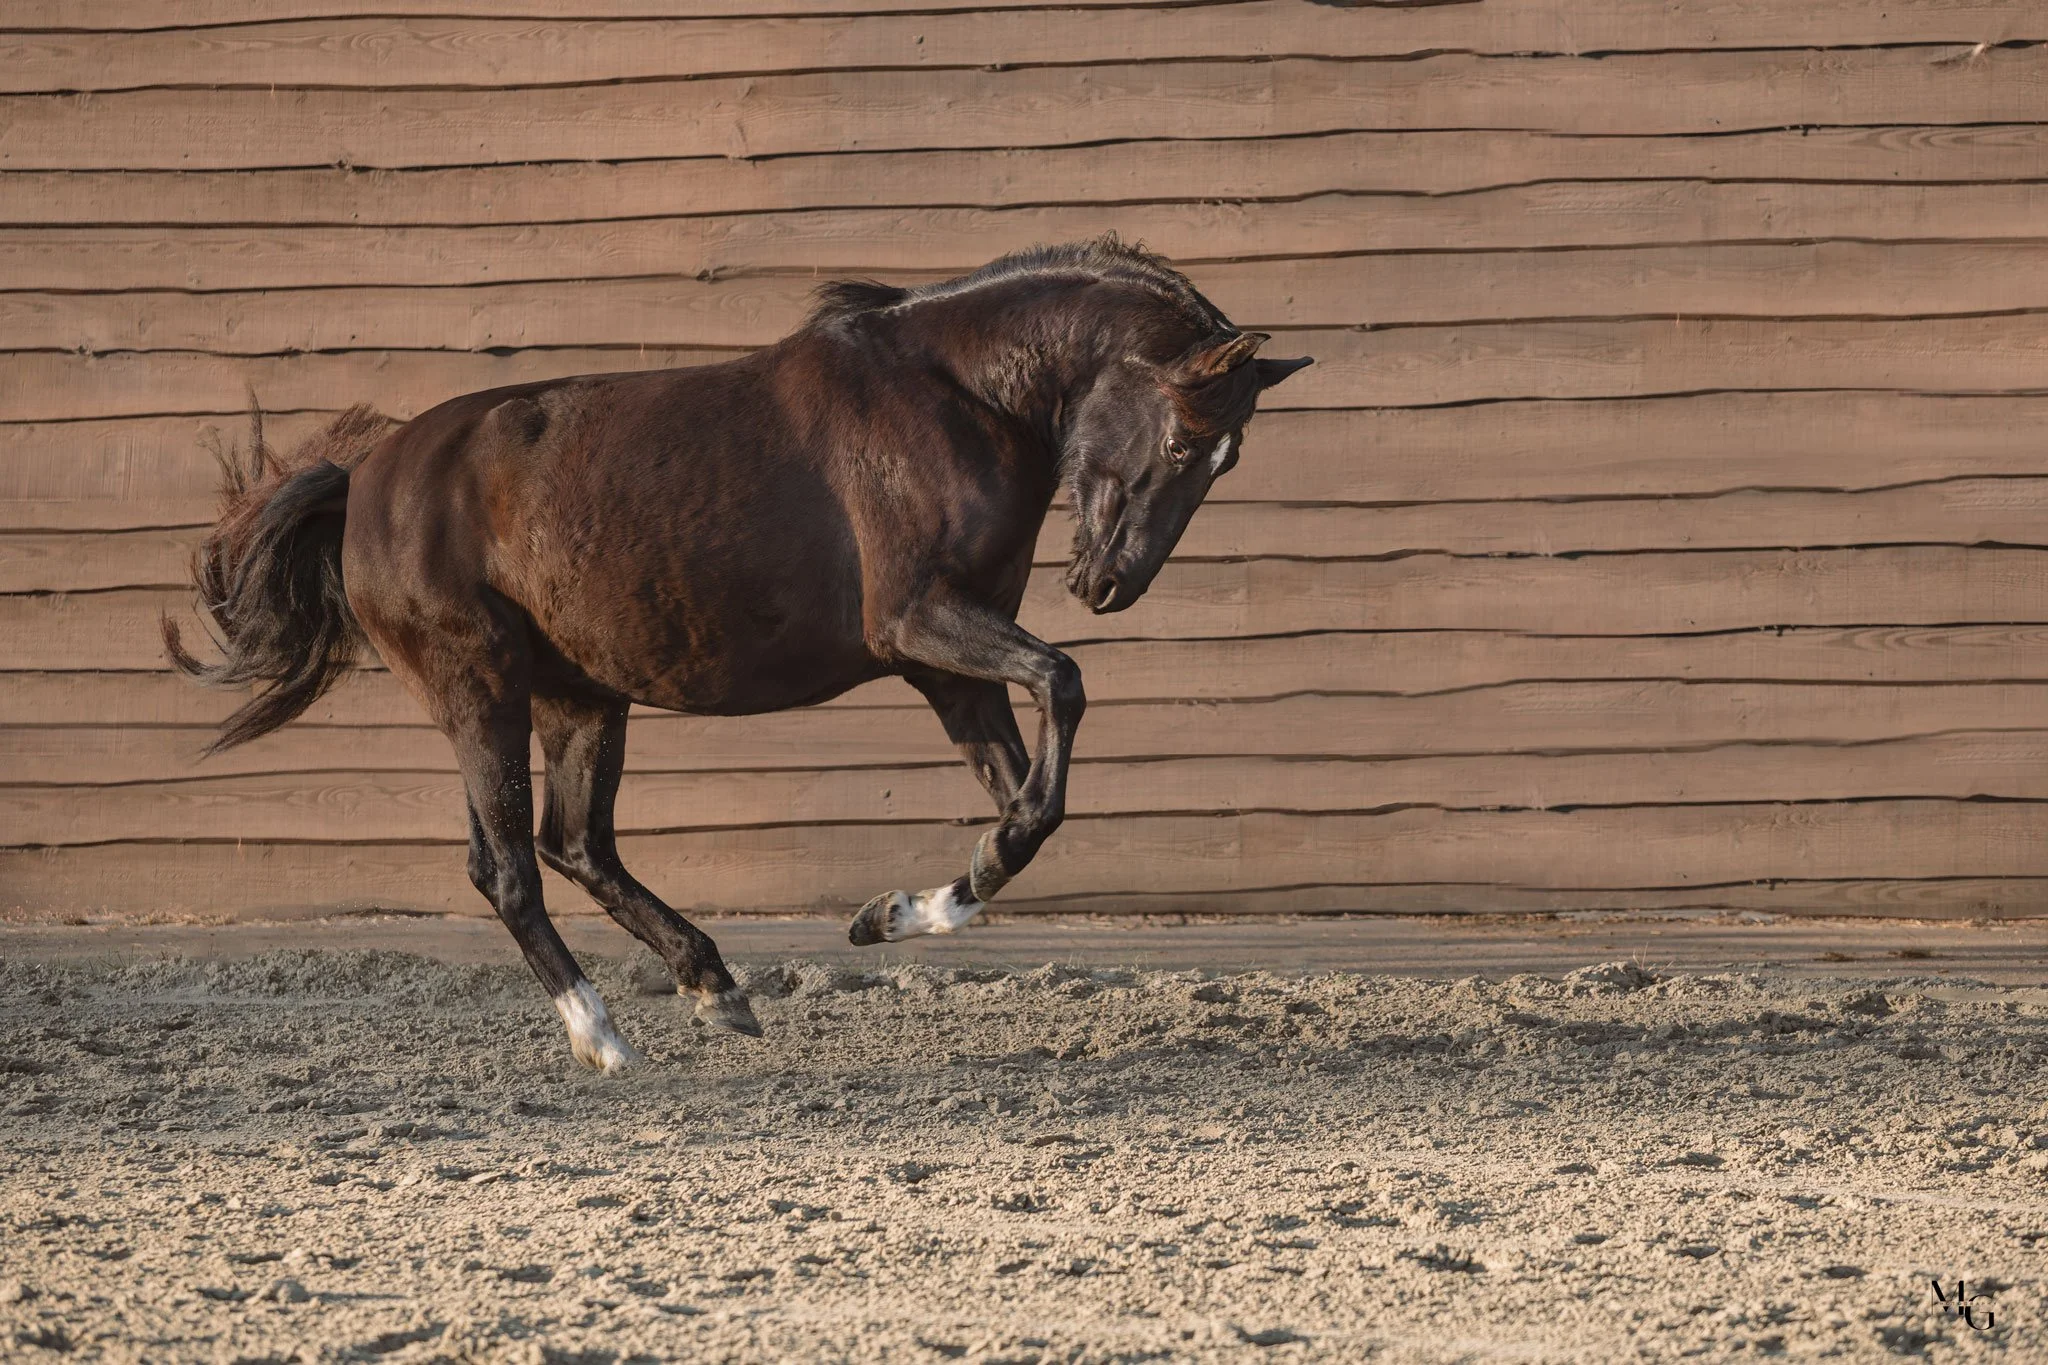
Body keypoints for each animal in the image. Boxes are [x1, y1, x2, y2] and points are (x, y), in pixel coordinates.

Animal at [166, 237, 1313, 1072]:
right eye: (1182, 441)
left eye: (1228, 460)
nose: (1108, 584)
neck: (958, 399)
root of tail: (365, 477)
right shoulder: (919, 623)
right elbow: (1063, 686)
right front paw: (935, 893)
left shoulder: (944, 662)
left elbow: (1025, 800)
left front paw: (910, 909)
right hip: (478, 685)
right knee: (509, 866)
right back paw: (603, 1037)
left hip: (582, 698)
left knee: (576, 844)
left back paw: (714, 986)